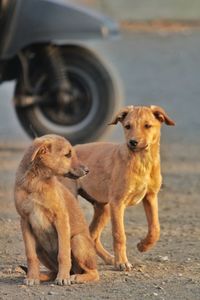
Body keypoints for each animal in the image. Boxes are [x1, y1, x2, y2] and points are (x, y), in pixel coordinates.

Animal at [14, 135, 99, 284]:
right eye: (67, 154)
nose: (88, 170)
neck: (37, 182)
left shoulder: (61, 219)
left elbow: (63, 254)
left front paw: (63, 278)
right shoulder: (25, 221)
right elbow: (30, 255)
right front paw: (32, 277)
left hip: (77, 240)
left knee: (94, 272)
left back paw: (76, 277)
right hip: (39, 247)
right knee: (53, 271)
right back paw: (44, 276)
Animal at [74, 105, 175, 270]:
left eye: (147, 126)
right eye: (127, 126)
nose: (132, 142)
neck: (142, 161)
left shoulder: (151, 197)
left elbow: (155, 228)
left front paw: (143, 246)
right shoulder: (117, 202)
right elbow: (119, 234)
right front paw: (122, 262)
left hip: (104, 208)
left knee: (92, 236)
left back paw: (108, 259)